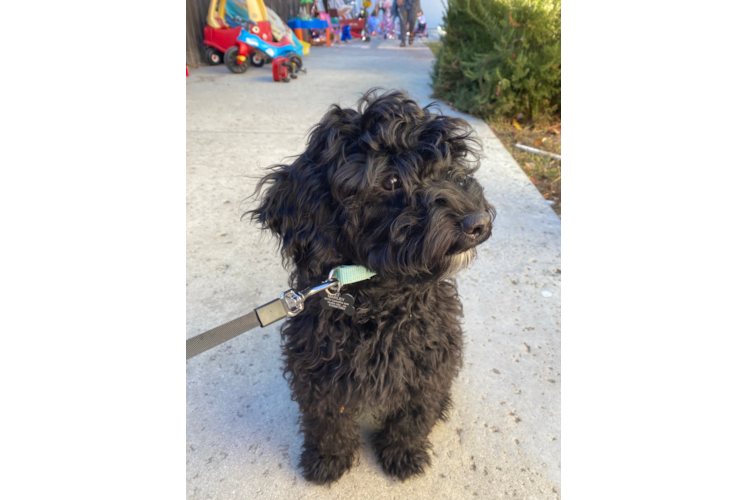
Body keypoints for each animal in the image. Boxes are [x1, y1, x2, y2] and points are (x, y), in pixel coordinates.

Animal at [247, 90, 496, 484]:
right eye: (391, 180)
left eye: (449, 163)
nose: (479, 222)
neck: (379, 299)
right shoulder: (317, 369)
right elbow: (327, 418)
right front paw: (328, 458)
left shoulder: (429, 363)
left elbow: (413, 414)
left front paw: (403, 453)